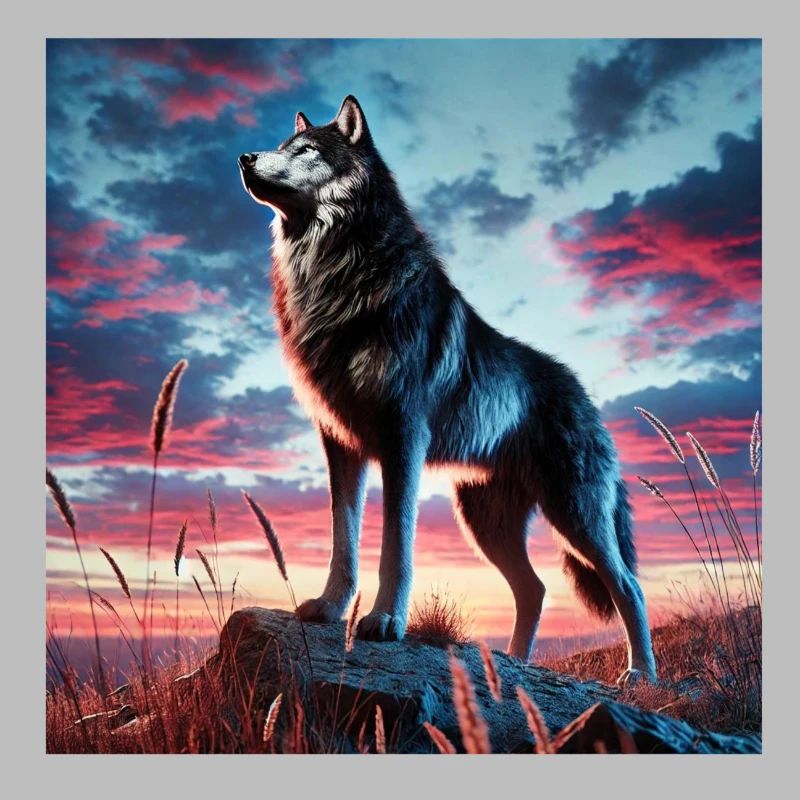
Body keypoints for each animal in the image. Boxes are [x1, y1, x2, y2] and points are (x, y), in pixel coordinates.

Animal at [239, 96, 657, 684]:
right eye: (282, 146)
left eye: (307, 151)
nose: (245, 157)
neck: (336, 274)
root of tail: (585, 396)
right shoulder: (339, 443)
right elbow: (344, 537)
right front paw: (330, 607)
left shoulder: (402, 439)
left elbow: (397, 543)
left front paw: (385, 621)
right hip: (486, 525)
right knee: (535, 588)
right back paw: (513, 663)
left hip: (574, 515)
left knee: (629, 585)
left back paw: (641, 675)